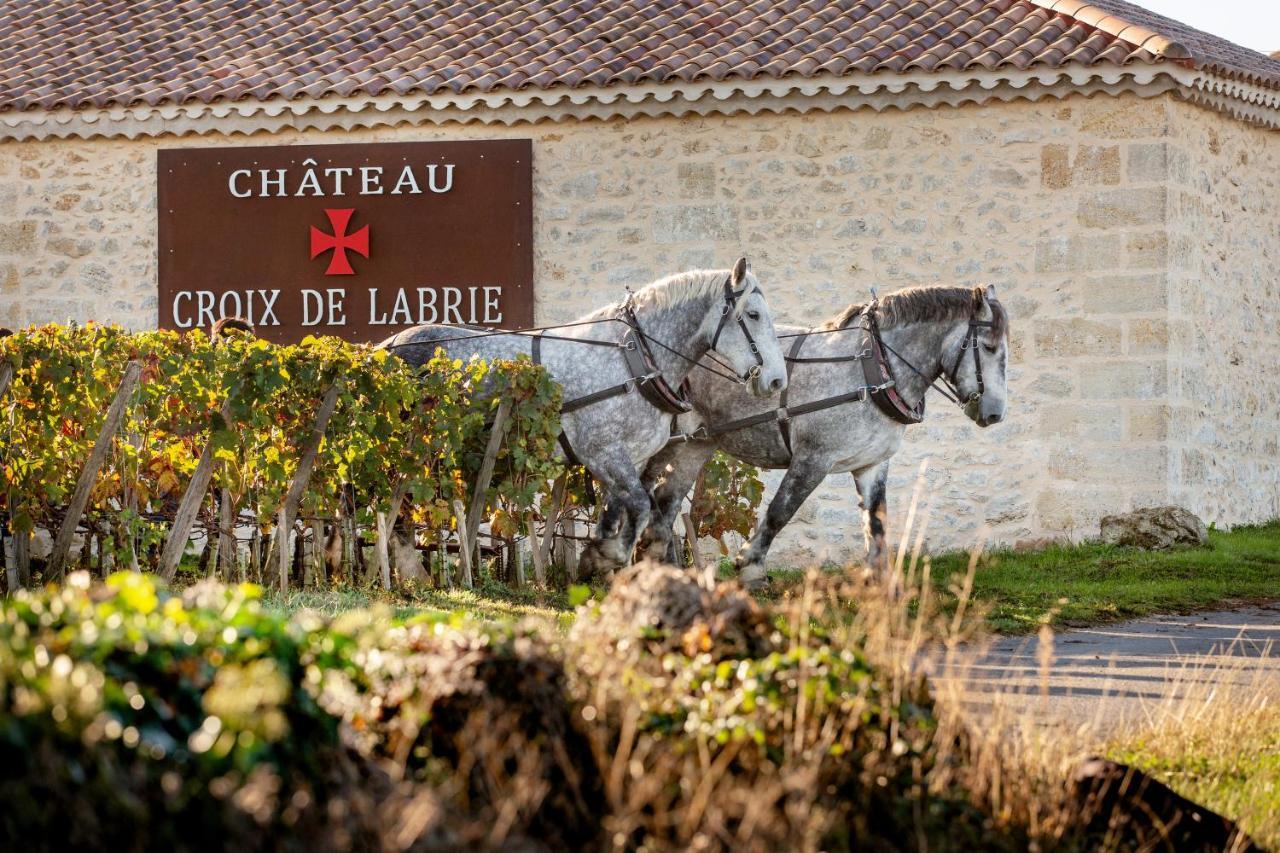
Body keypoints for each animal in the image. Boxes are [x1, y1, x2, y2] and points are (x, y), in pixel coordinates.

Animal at [378, 261, 783, 578]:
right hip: (413, 446)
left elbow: (616, 514)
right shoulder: (600, 451)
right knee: (397, 503)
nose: (777, 380)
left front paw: (599, 562)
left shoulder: (629, 458)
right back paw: (411, 573)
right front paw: (609, 557)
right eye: (753, 315)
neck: (632, 360)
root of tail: (386, 346)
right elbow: (639, 506)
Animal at [640, 284, 1008, 584]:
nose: (995, 413)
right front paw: (751, 565)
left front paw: (880, 584)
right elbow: (781, 511)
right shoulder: (812, 459)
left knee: (664, 504)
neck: (869, 369)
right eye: (989, 347)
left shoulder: (872, 465)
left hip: (696, 444)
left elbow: (876, 522)